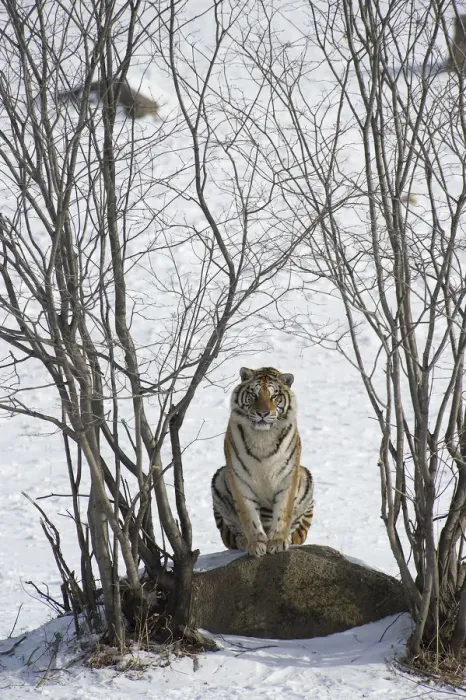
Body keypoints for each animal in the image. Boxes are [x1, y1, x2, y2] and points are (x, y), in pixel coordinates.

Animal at [211, 366, 314, 558]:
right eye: (254, 394)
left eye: (274, 396)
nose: (263, 413)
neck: (263, 436)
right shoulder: (239, 478)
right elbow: (249, 515)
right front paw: (256, 544)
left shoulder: (288, 477)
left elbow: (283, 512)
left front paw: (278, 542)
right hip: (219, 478)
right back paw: (244, 542)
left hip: (305, 477)